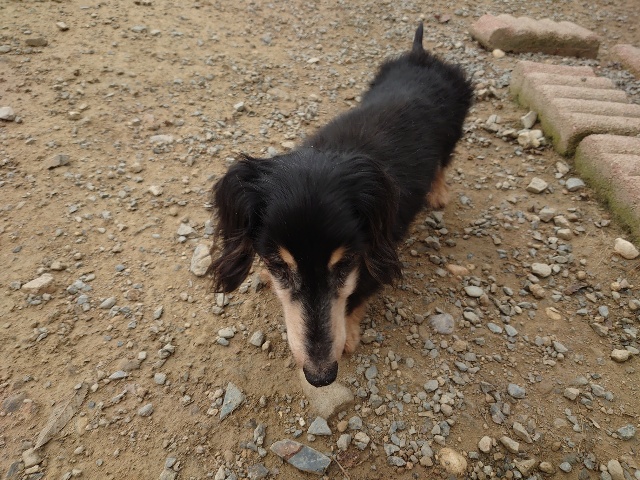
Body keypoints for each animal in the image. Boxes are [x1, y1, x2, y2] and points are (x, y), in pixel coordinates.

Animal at [209, 23, 472, 387]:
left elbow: (356, 295)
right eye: (278, 265)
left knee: (444, 162)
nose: (321, 377)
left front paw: (347, 334)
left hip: (453, 132)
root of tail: (422, 55)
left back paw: (438, 192)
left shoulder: (377, 250)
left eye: (345, 264)